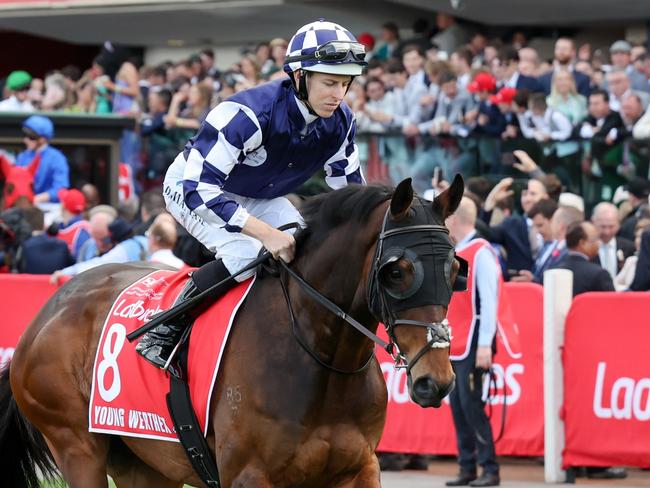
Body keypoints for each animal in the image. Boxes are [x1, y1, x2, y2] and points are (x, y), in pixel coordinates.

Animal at [1, 176, 466, 488]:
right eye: (396, 271)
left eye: (454, 270)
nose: (436, 381)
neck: (319, 360)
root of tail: (49, 311)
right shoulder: (248, 475)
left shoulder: (360, 468)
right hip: (77, 445)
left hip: (144, 462)